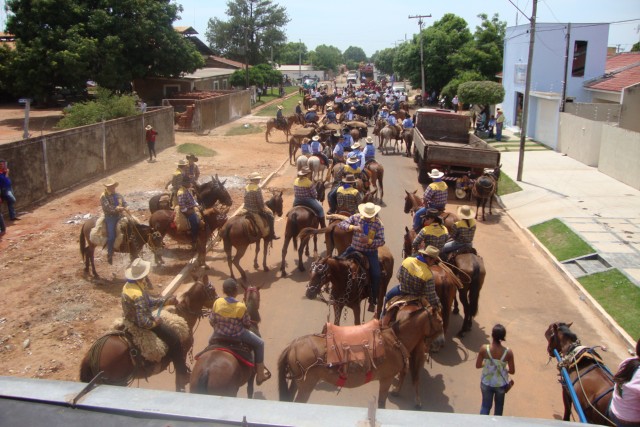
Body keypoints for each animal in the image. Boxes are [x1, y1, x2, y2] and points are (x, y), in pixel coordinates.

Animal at [79, 276, 219, 392]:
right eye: (212, 290)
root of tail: (91, 355)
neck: (182, 316)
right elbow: (179, 380)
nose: (218, 299)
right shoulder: (181, 353)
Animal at [278, 306, 448, 410]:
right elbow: (381, 404)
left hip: (297, 383)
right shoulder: (386, 379)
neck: (395, 340)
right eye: (440, 321)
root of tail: (293, 345)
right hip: (307, 385)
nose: (441, 342)